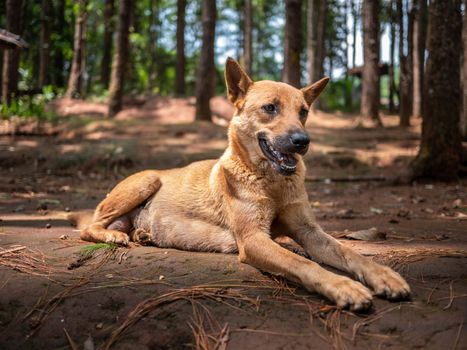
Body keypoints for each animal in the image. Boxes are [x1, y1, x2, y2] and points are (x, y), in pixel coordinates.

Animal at [72, 58, 410, 310]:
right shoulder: (253, 239)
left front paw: (384, 276)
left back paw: (142, 234)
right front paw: (343, 286)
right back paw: (113, 236)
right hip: (146, 180)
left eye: (303, 112)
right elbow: (304, 264)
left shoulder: (310, 232)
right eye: (270, 108)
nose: (302, 142)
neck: (272, 182)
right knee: (88, 226)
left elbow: (350, 253)